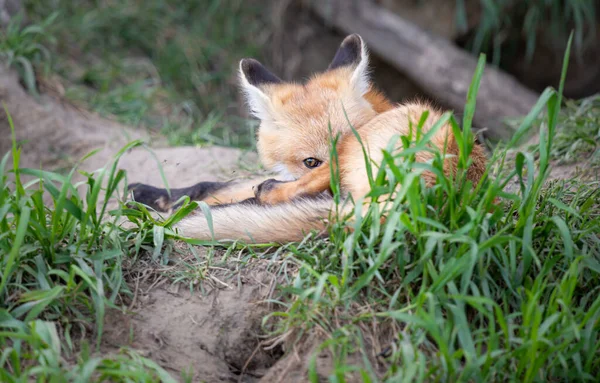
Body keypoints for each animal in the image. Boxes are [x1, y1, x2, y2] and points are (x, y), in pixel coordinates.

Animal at [126, 33, 488, 243]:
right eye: (309, 160)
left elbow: (223, 189)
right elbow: (208, 184)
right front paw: (150, 193)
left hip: (353, 148)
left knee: (291, 194)